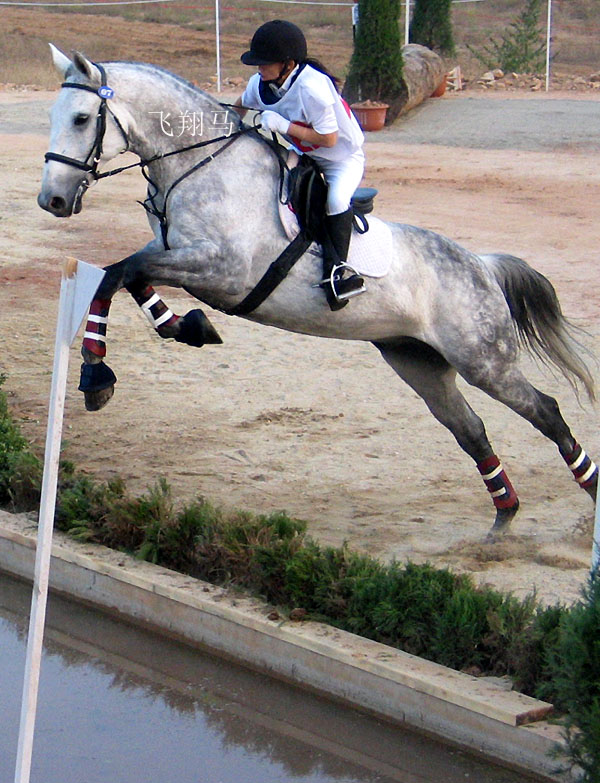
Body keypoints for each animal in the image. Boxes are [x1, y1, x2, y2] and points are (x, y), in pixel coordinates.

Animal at [37, 47, 596, 540]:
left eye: (83, 118)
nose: (53, 200)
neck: (199, 163)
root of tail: (481, 265)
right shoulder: (174, 253)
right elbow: (127, 275)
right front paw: (184, 329)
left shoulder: (220, 269)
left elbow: (118, 273)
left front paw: (97, 374)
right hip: (418, 361)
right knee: (470, 428)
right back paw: (505, 516)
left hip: (484, 360)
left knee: (545, 410)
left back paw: (586, 497)